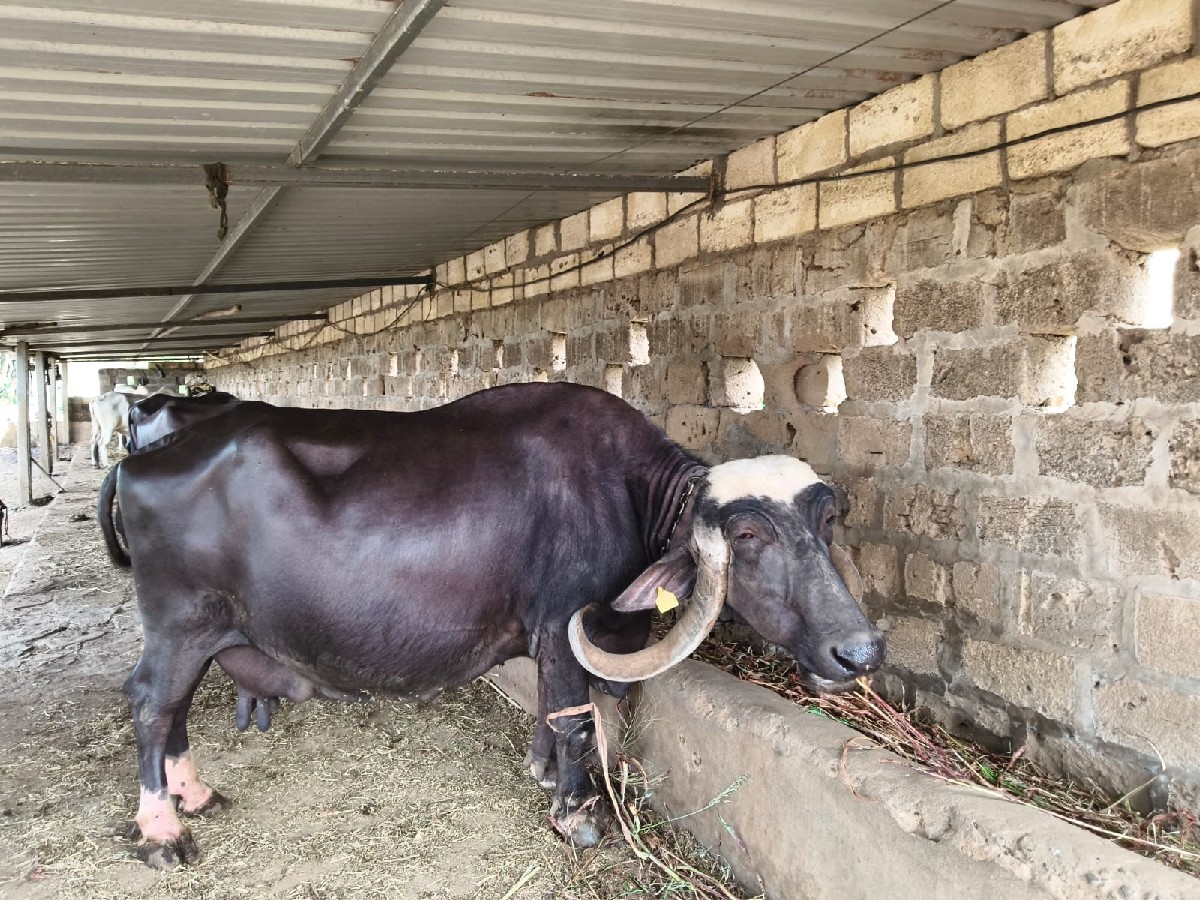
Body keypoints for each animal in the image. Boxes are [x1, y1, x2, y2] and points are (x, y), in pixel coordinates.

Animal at [98, 382, 884, 869]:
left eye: (827, 520)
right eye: (748, 535)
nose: (859, 651)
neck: (624, 490)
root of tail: (144, 460)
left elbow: (555, 713)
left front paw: (542, 770)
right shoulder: (566, 624)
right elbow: (576, 718)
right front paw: (577, 813)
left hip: (200, 634)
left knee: (172, 711)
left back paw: (195, 794)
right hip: (180, 624)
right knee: (151, 703)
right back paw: (162, 830)